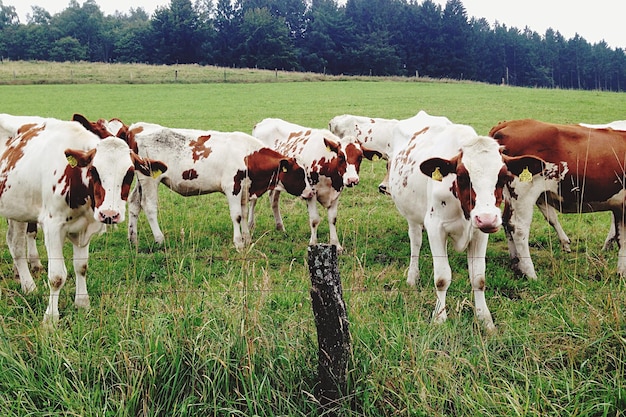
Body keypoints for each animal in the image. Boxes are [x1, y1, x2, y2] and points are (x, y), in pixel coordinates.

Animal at [0, 116, 167, 322]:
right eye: (94, 171)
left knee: (14, 244)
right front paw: (51, 318)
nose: (109, 214)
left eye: (129, 173)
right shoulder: (52, 226)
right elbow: (57, 276)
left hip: (18, 210)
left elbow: (81, 266)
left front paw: (82, 304)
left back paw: (26, 284)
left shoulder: (85, 228)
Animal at [121, 121, 312, 250]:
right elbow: (236, 216)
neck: (247, 155)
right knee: (149, 206)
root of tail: (137, 129)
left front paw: (247, 238)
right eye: (299, 173)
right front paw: (238, 243)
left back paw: (133, 239)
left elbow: (243, 214)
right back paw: (159, 239)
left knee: (134, 203)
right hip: (150, 179)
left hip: (141, 180)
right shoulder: (232, 187)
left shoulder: (244, 189)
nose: (311, 192)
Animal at [252, 117, 376, 254]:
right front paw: (313, 243)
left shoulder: (336, 193)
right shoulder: (310, 193)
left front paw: (336, 245)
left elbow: (332, 219)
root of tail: (264, 121)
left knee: (274, 200)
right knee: (253, 200)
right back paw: (250, 225)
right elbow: (315, 219)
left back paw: (280, 227)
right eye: (340, 156)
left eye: (360, 157)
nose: (352, 179)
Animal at [388, 121, 544, 332]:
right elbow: (442, 278)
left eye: (503, 176)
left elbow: (478, 278)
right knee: (416, 242)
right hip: (412, 217)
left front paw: (485, 320)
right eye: (462, 176)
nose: (487, 219)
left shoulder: (480, 233)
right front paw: (439, 318)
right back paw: (412, 277)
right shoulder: (435, 228)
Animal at [488, 118, 626, 278]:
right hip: (523, 193)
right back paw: (530, 273)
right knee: (518, 228)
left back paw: (516, 264)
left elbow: (621, 238)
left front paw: (621, 272)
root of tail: (509, 123)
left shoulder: (619, 205)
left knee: (506, 221)